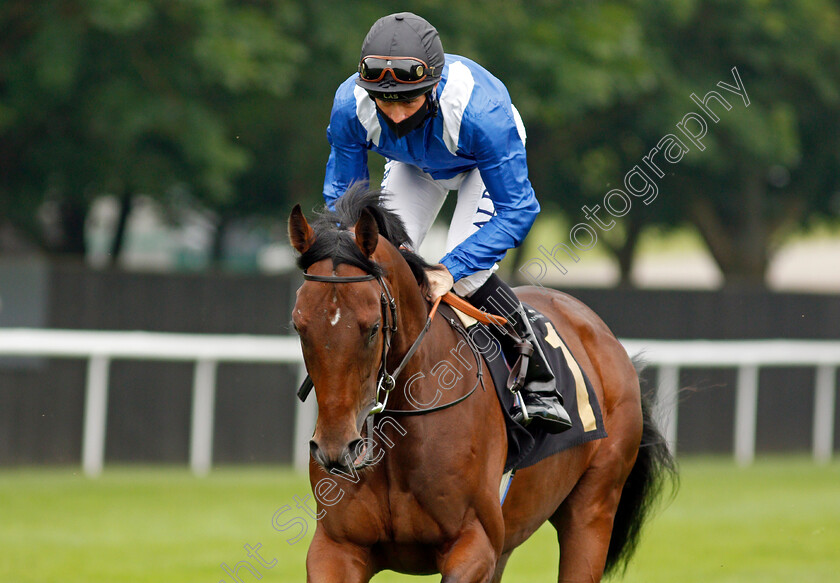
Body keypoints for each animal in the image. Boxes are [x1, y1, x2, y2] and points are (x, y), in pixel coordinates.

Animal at [288, 188, 676, 583]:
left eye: (371, 328)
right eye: (299, 326)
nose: (336, 449)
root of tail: (605, 336)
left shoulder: (475, 543)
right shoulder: (336, 547)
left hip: (593, 508)